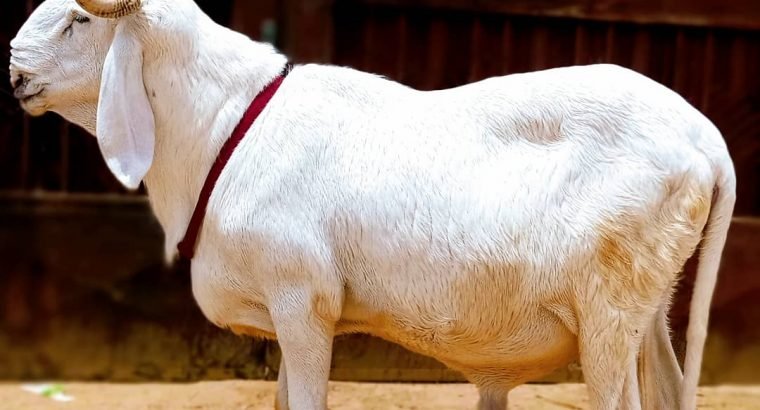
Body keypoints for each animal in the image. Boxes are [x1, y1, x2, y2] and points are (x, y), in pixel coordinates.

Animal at [9, 0, 736, 409]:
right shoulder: (284, 313)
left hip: (608, 316)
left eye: (78, 19)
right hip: (649, 306)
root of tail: (707, 141)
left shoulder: (303, 302)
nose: (14, 73)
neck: (223, 125)